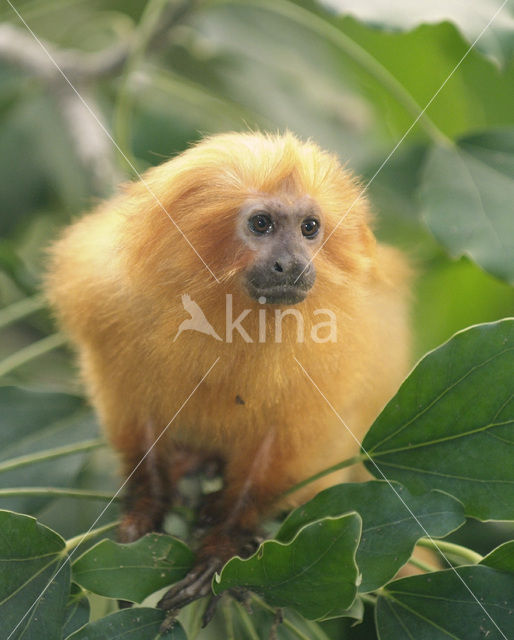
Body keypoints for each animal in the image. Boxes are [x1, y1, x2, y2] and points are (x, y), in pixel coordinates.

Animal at [46, 130, 410, 616]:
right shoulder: (108, 301)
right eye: (261, 224)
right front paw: (144, 510)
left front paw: (224, 544)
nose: (293, 263)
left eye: (309, 228)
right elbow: (139, 419)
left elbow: (281, 447)